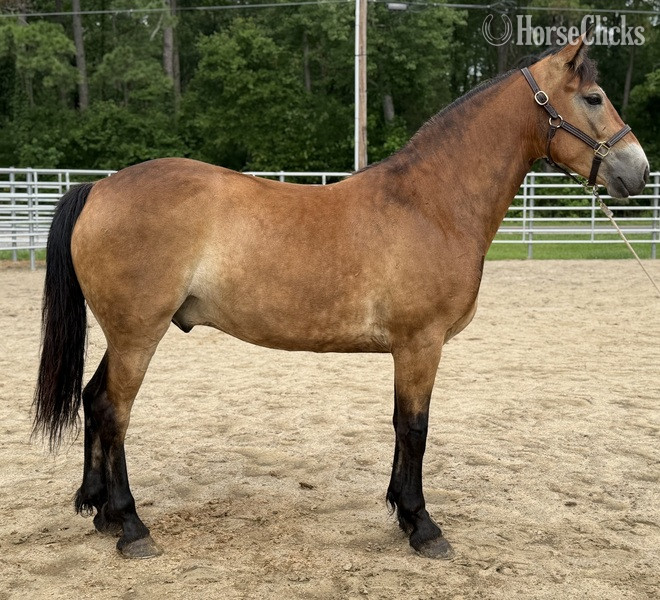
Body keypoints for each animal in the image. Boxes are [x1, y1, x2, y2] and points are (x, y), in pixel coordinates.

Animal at [33, 34, 649, 559]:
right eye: (593, 97)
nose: (638, 171)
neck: (431, 203)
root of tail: (100, 187)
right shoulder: (420, 344)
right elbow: (415, 428)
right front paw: (422, 526)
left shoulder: (410, 349)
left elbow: (402, 426)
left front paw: (402, 512)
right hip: (138, 333)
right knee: (114, 411)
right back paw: (131, 526)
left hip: (124, 333)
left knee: (93, 399)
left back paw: (100, 512)